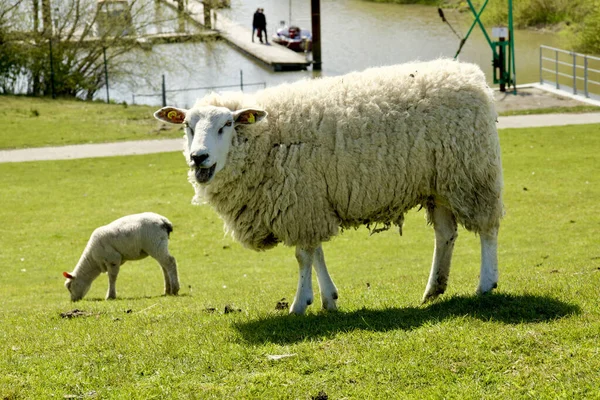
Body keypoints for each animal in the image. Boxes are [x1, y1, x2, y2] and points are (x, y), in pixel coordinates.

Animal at [154, 60, 502, 316]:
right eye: (188, 126)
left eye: (226, 125)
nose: (198, 157)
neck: (266, 137)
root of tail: (472, 75)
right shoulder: (309, 202)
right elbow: (315, 252)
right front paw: (328, 299)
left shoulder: (301, 201)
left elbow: (303, 256)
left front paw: (299, 304)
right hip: (440, 184)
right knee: (445, 234)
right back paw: (434, 288)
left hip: (473, 173)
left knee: (487, 229)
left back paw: (486, 284)